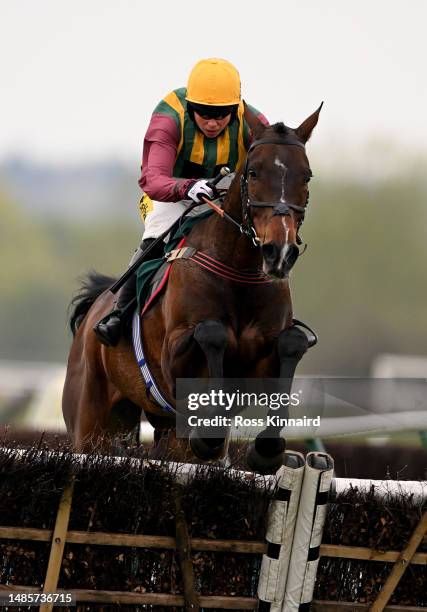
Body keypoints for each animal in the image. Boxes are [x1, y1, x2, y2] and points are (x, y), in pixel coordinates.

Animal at [63, 103, 322, 470]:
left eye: (306, 176)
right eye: (254, 172)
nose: (279, 251)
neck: (238, 272)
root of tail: (92, 313)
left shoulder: (261, 363)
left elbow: (292, 342)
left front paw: (266, 449)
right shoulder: (173, 358)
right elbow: (212, 333)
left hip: (164, 432)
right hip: (91, 424)